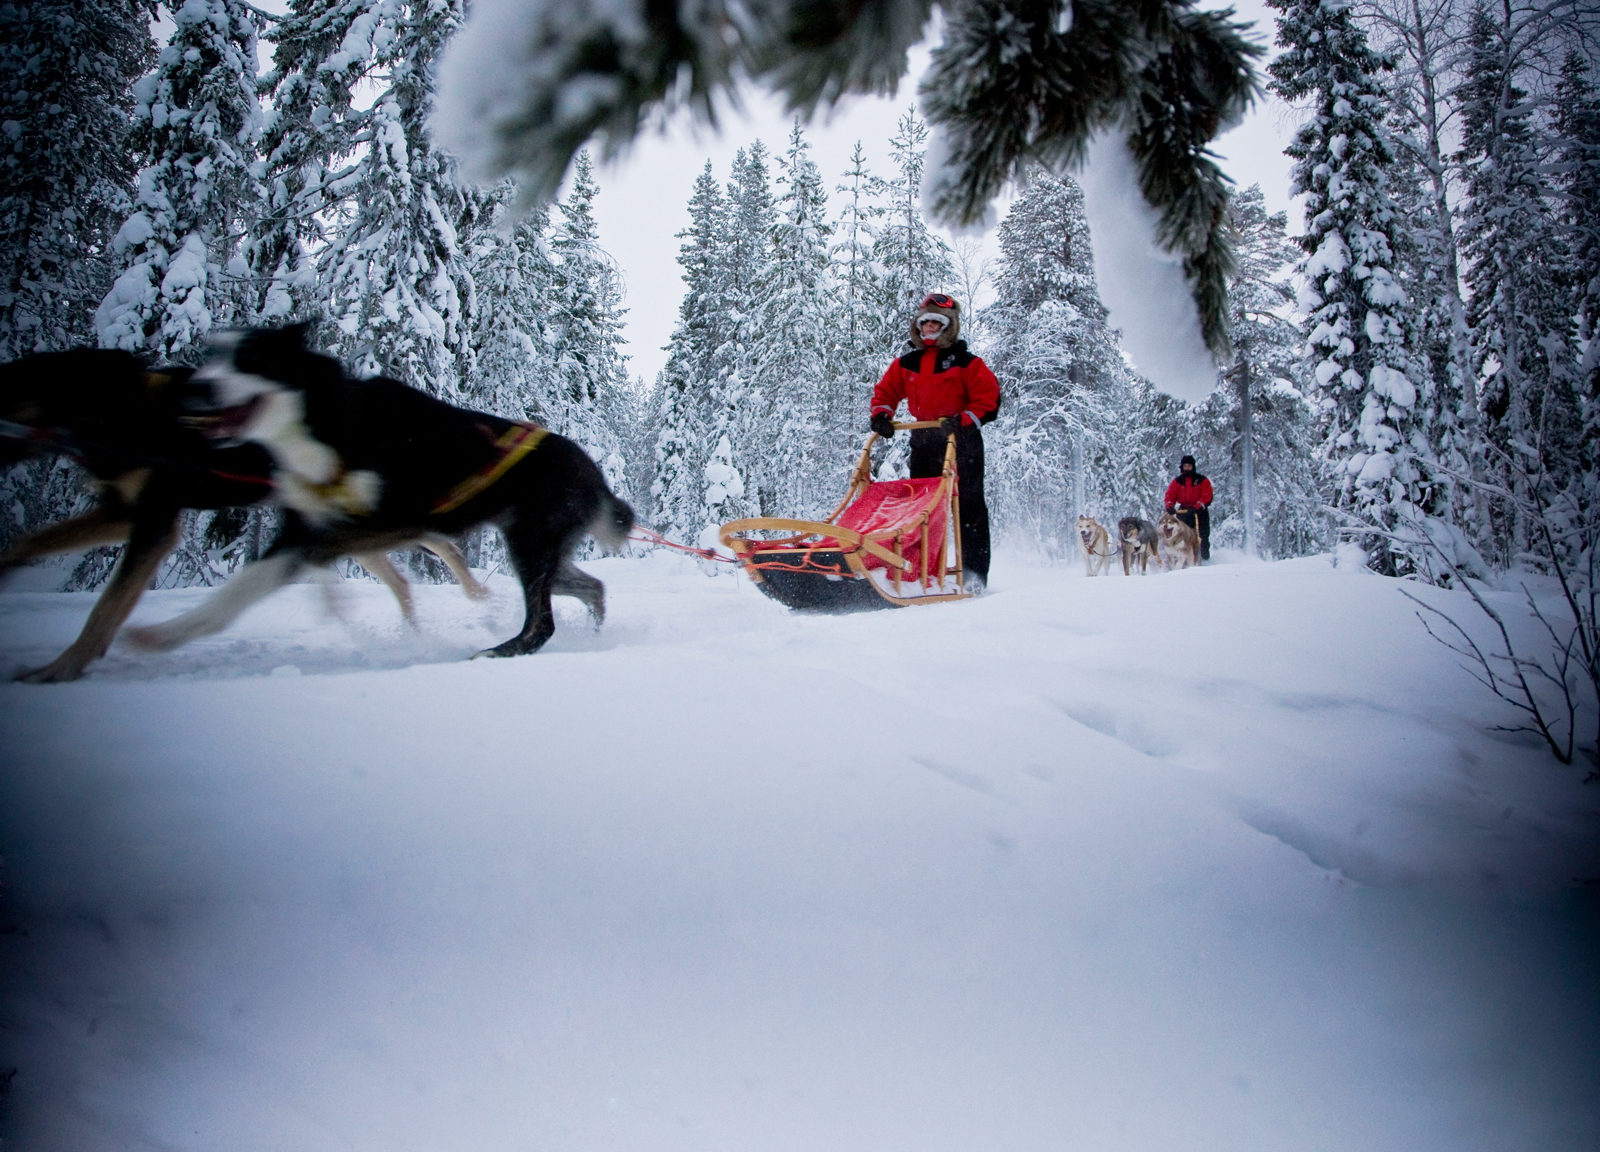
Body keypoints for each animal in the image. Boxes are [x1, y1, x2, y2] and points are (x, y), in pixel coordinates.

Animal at [0, 348, 486, 681]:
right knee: (406, 572)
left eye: (5, 393)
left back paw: (469, 593)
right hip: (349, 529)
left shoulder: (156, 524)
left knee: (437, 546)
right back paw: (414, 625)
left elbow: (106, 608)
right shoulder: (124, 512)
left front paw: (60, 668)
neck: (125, 410)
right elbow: (30, 541)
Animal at [128, 324, 634, 659]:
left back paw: (495, 652)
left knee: (542, 623)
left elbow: (244, 588)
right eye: (213, 353)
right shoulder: (314, 530)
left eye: (250, 357)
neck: (327, 420)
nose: (196, 387)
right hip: (541, 553)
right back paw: (592, 635)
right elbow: (247, 586)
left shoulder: (364, 528)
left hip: (529, 547)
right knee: (592, 588)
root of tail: (592, 469)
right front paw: (170, 633)